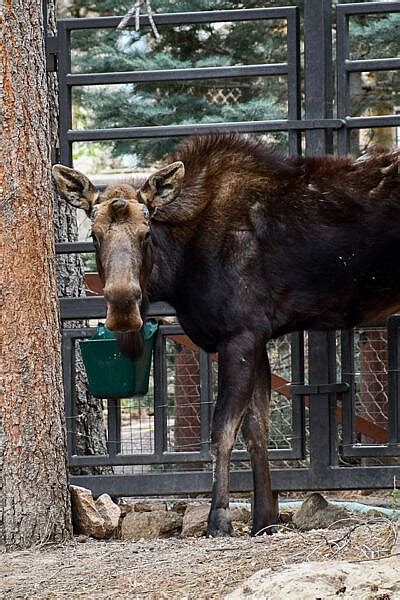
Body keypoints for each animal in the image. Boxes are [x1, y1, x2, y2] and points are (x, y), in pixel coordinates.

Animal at [53, 134, 400, 536]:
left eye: (146, 233)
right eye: (94, 235)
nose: (123, 307)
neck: (179, 272)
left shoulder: (239, 335)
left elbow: (222, 429)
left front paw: (219, 518)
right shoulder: (258, 338)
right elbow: (256, 429)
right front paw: (264, 519)